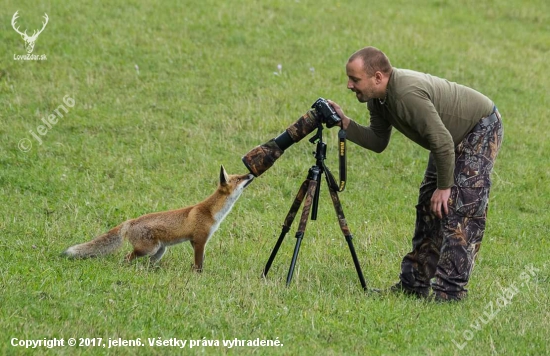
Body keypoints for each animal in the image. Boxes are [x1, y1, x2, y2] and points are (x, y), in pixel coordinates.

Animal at [62, 165, 254, 272]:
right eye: (239, 178)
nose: (250, 174)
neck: (211, 212)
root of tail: (131, 221)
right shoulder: (199, 240)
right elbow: (199, 264)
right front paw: (199, 276)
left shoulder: (196, 241)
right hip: (148, 249)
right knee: (126, 257)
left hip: (160, 250)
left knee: (146, 263)